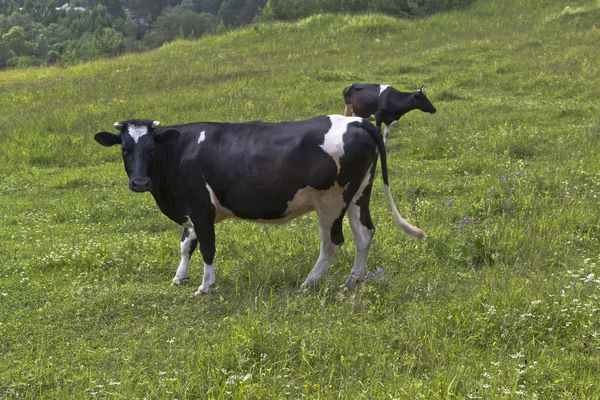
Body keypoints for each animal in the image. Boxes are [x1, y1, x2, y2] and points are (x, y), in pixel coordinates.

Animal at [95, 114, 426, 296]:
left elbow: (207, 247)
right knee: (364, 234)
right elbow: (186, 244)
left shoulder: (201, 207)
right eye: (125, 149)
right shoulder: (191, 209)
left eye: (151, 149)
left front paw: (205, 286)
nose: (139, 182)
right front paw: (179, 277)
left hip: (331, 200)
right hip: (359, 194)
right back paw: (351, 282)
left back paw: (309, 283)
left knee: (332, 242)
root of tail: (357, 121)